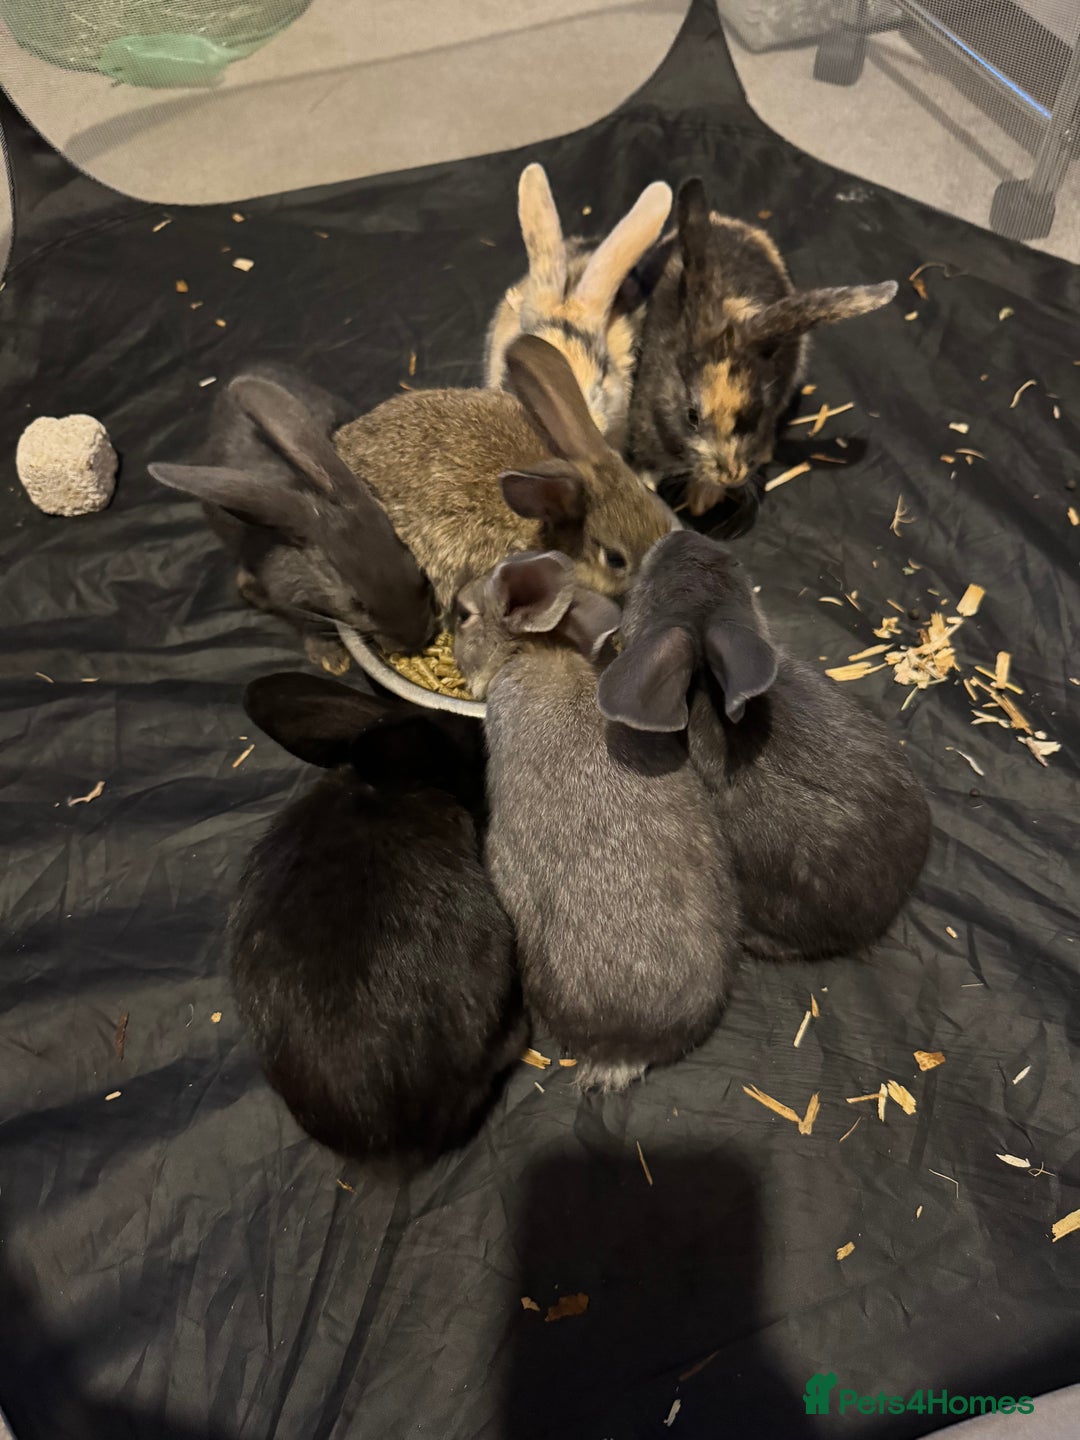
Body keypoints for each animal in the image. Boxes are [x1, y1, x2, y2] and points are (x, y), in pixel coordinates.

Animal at [149, 364, 437, 675]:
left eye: (422, 577)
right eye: (356, 604)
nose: (416, 640)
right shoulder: (287, 599)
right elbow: (305, 623)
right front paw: (331, 658)